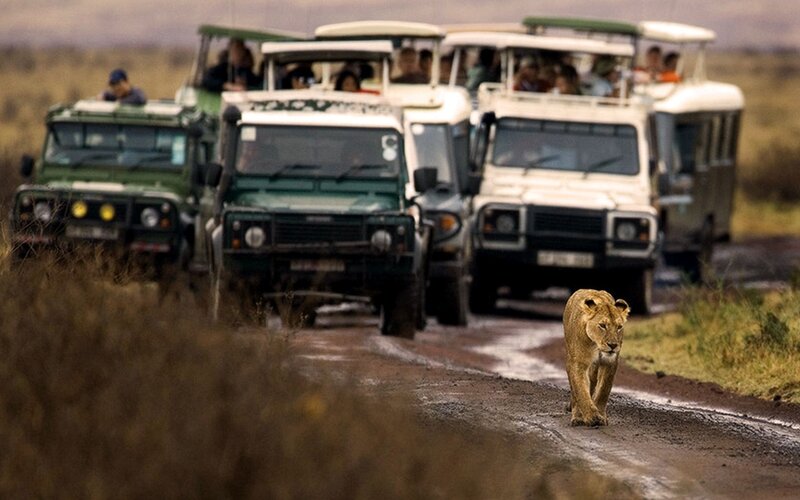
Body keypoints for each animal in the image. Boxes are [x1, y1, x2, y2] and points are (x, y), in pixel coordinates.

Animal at [563, 289, 630, 427]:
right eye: (602, 325)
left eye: (619, 327)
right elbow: (580, 390)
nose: (613, 345)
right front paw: (588, 417)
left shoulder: (610, 363)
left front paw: (600, 415)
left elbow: (603, 390)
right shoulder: (578, 363)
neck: (597, 346)